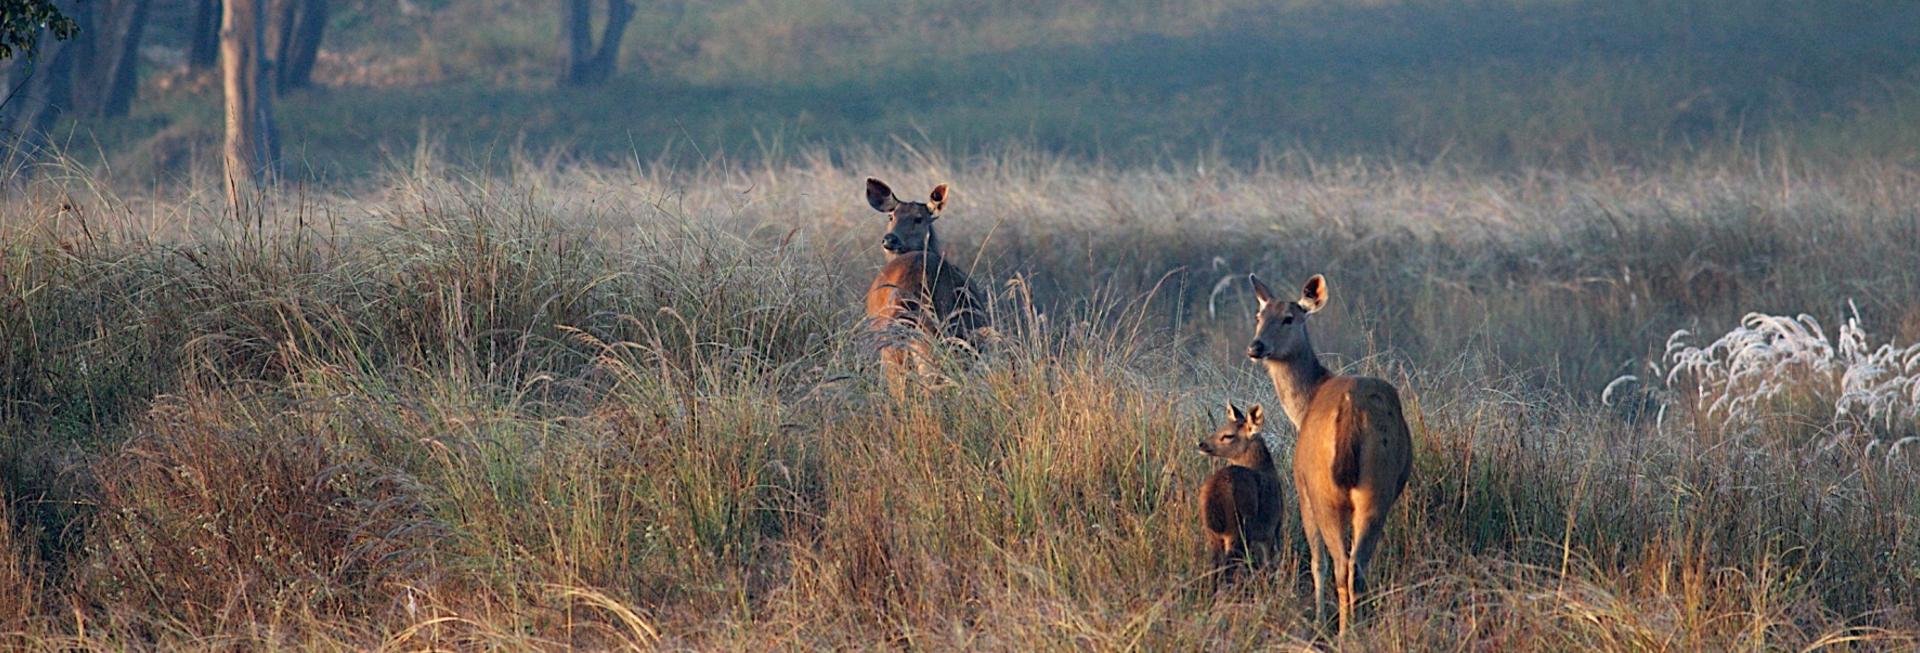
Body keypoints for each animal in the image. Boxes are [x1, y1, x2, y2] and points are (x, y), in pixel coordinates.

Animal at [1198, 402, 1285, 590]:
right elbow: (1270, 563)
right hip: (1237, 529)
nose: (1201, 444)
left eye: (1228, 435)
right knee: (1227, 567)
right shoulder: (1272, 526)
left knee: (1214, 567)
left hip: (1212, 534)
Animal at [1246, 273, 1412, 636]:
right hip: (1378, 486)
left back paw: (1341, 631)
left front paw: (1320, 617)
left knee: (1339, 564)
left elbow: (1316, 561)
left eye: (1288, 318)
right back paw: (1358, 627)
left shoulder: (1302, 490)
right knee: (1358, 566)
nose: (1256, 347)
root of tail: (1351, 409)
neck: (1305, 405)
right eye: (1258, 316)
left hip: (1324, 492)